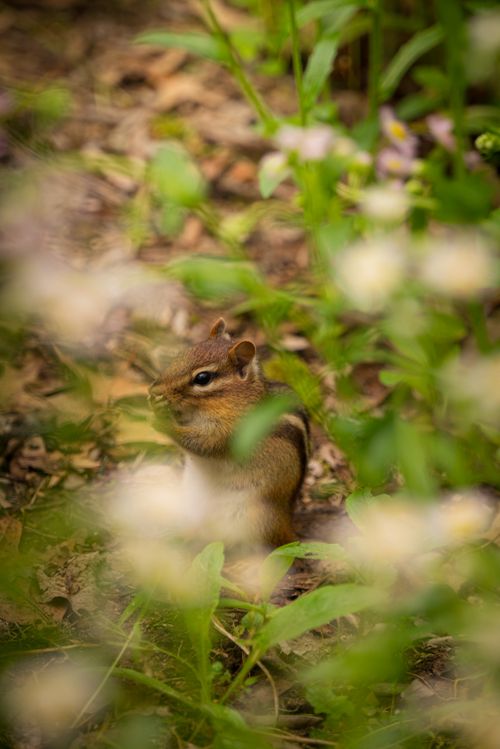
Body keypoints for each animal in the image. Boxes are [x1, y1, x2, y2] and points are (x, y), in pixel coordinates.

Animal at [149, 318, 310, 548]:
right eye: (182, 354)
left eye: (202, 378)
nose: (153, 389)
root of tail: (286, 524)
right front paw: (155, 405)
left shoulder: (231, 432)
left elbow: (204, 443)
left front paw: (162, 421)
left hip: (248, 518)